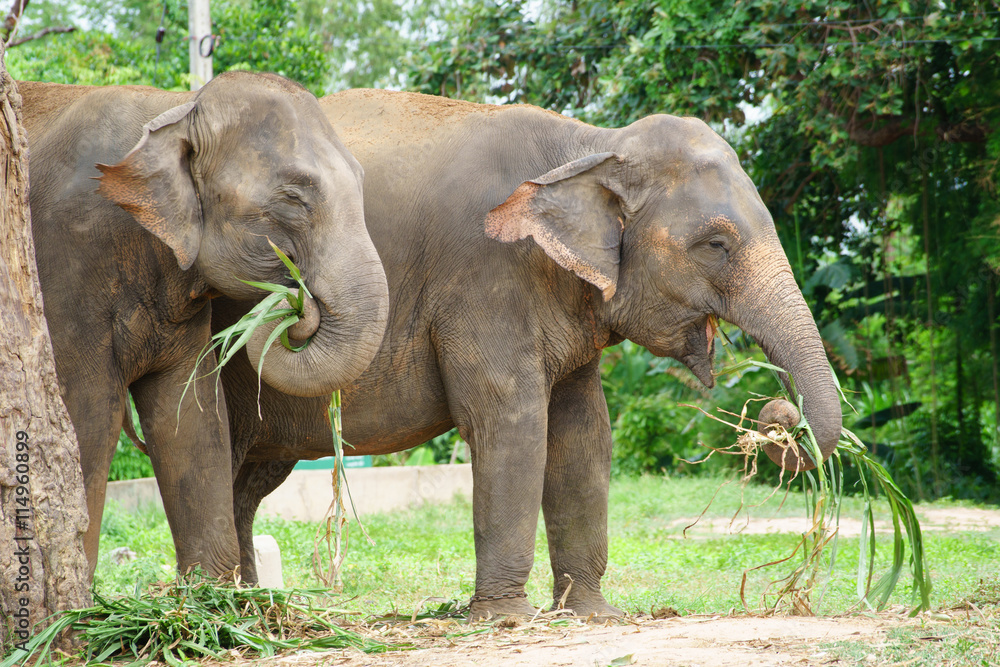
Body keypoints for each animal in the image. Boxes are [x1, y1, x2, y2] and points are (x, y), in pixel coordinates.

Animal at [20, 72, 389, 579]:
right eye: (294, 198)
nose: (298, 302)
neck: (178, 108)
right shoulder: (66, 264)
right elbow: (89, 413)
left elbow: (193, 413)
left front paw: (209, 596)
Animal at [213, 89, 842, 617]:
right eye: (715, 245)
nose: (777, 419)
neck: (591, 145)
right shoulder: (484, 272)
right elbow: (510, 419)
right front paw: (507, 618)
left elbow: (584, 432)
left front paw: (591, 615)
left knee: (248, 481)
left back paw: (246, 608)